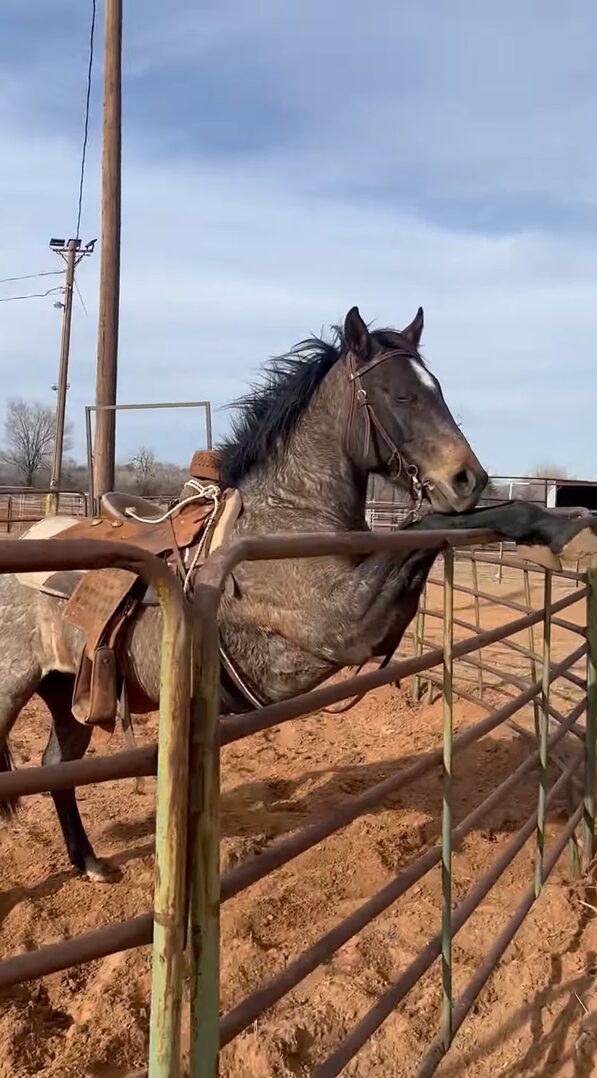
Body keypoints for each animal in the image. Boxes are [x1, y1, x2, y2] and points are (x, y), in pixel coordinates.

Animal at [0, 301, 590, 875]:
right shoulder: (345, 623)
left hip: (68, 693)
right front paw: (561, 529)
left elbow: (433, 530)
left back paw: (89, 863)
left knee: (57, 764)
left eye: (437, 389)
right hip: (13, 688)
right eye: (399, 393)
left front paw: (550, 525)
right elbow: (424, 527)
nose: (469, 478)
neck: (285, 514)